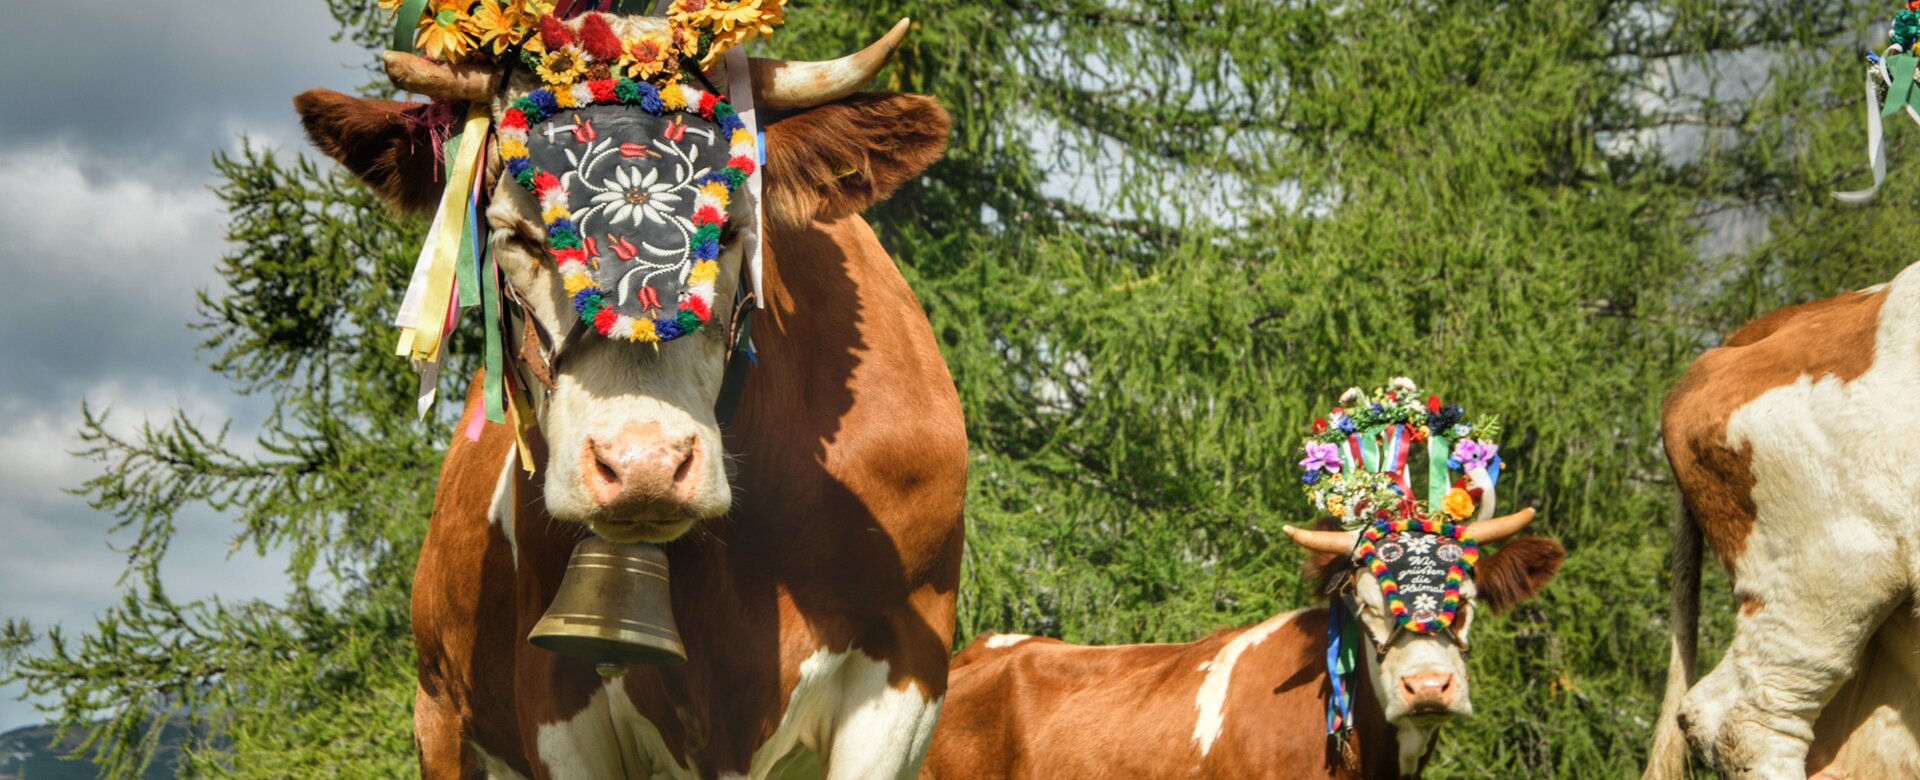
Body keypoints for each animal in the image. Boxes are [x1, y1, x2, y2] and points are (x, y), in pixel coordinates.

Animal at [292, 13, 968, 779]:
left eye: (731, 230)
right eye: (517, 235)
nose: (645, 464)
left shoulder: (905, 670)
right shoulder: (555, 690)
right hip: (439, 716)